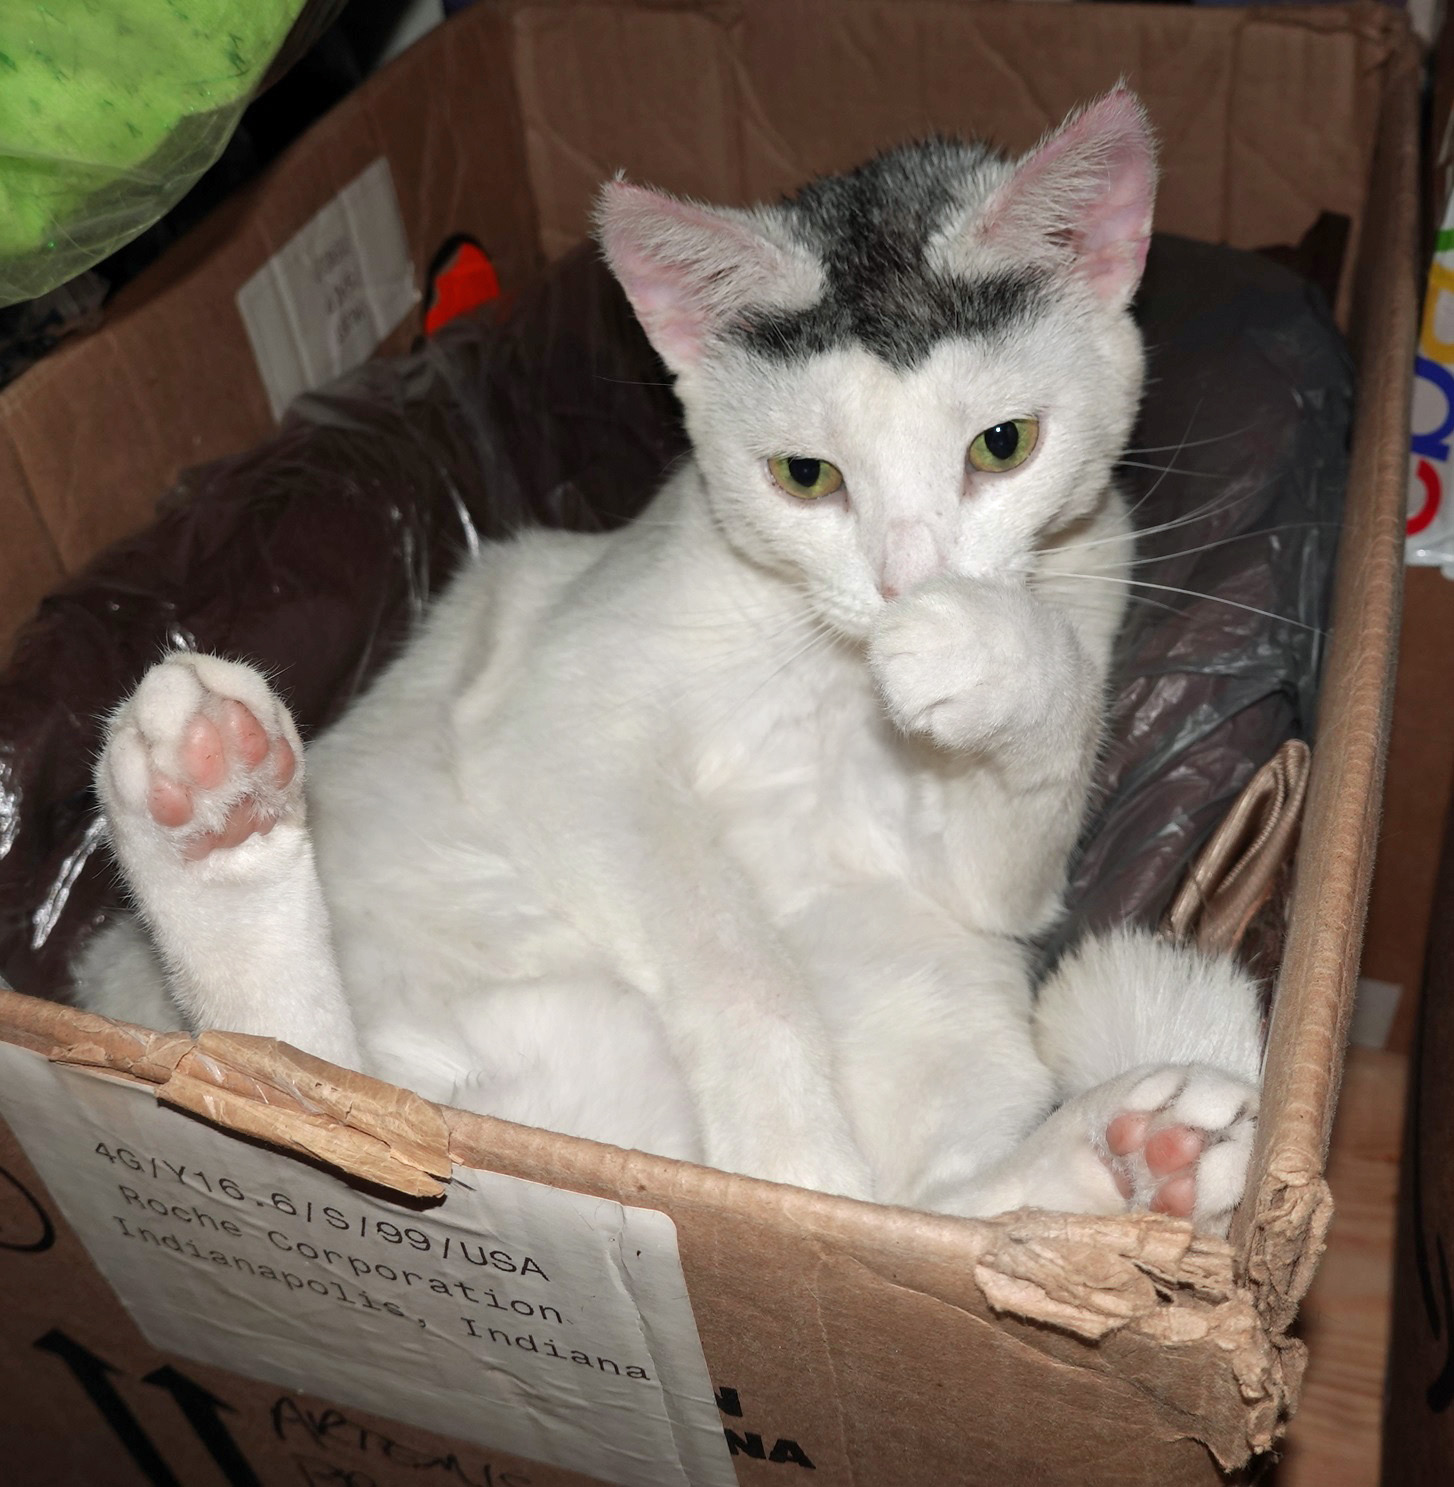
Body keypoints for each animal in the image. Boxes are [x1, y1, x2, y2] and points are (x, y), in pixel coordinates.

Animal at [75, 87, 1263, 1235]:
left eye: (1001, 445)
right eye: (804, 475)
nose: (901, 585)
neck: (836, 669)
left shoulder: (996, 865)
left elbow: (1034, 755)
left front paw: (985, 647)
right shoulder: (557, 727)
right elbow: (734, 958)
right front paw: (788, 1152)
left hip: (926, 976)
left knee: (928, 1213)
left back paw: (1135, 1155)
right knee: (294, 1092)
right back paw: (210, 808)